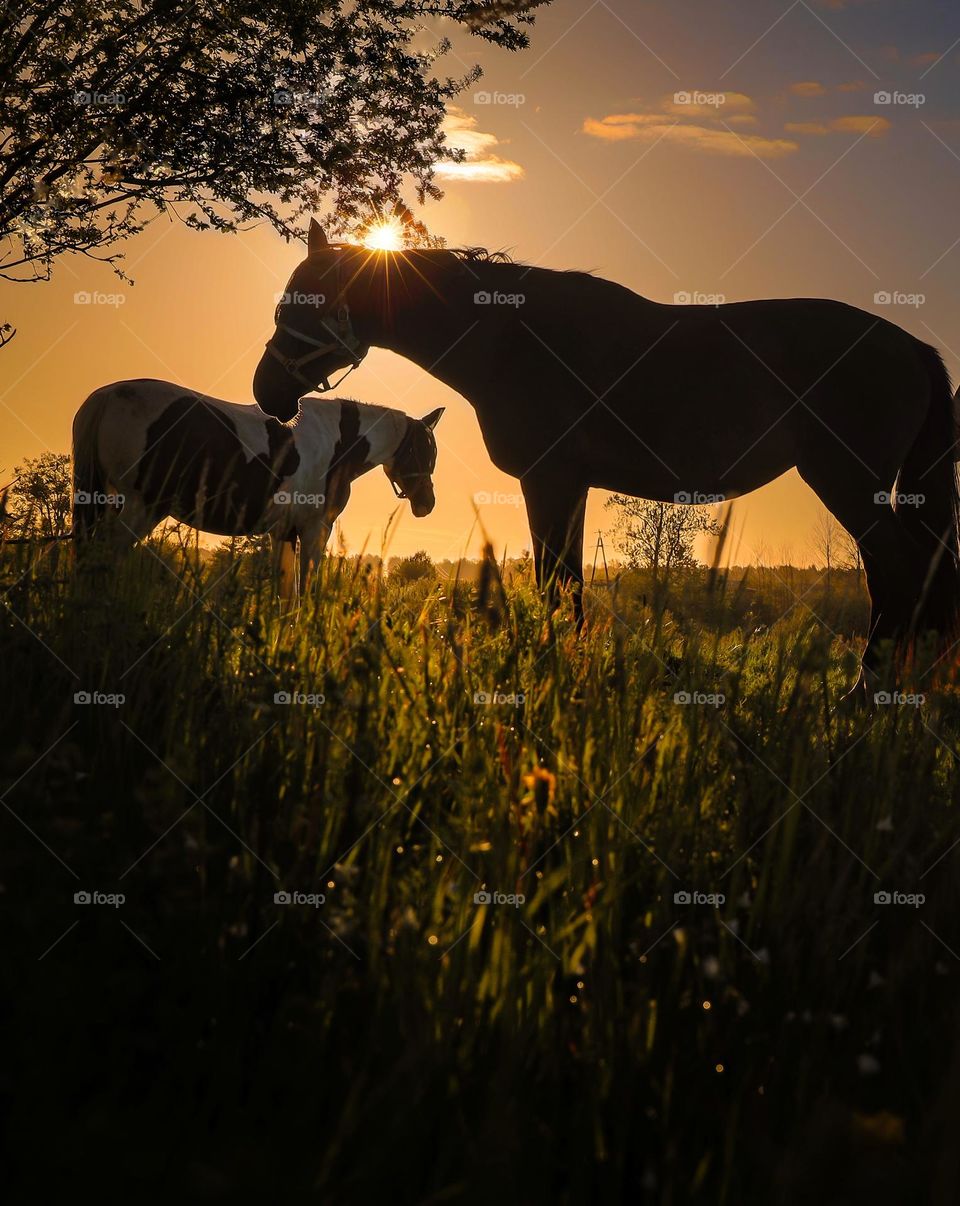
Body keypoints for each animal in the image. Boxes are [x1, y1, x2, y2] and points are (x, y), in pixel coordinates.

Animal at [72, 377, 443, 603]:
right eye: (424, 449)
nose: (427, 503)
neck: (336, 442)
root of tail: (108, 396)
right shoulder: (314, 529)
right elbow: (306, 590)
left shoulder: (283, 531)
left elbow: (285, 594)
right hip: (141, 508)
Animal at [252, 221, 960, 697]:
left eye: (303, 304)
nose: (267, 391)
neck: (512, 342)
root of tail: (910, 345)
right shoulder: (569, 487)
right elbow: (565, 582)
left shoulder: (550, 481)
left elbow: (556, 581)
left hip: (848, 483)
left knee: (900, 572)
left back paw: (865, 695)